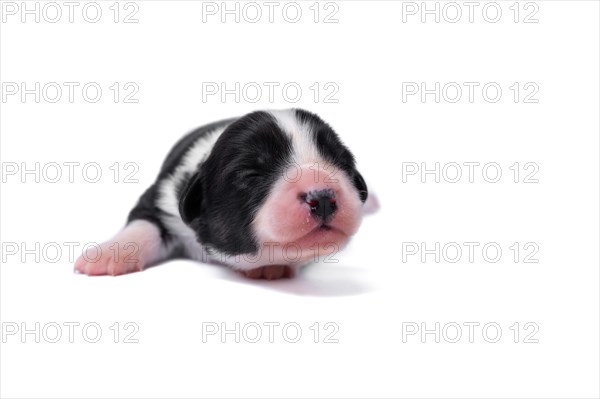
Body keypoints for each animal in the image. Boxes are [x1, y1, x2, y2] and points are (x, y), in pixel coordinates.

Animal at [74, 108, 376, 280]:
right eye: (251, 175)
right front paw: (107, 255)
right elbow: (143, 225)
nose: (323, 197)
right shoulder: (160, 196)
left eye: (343, 164)